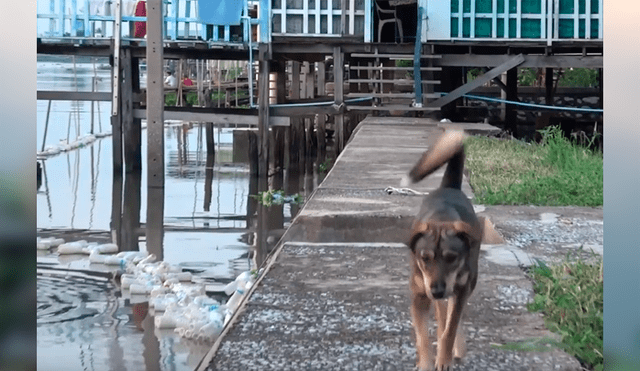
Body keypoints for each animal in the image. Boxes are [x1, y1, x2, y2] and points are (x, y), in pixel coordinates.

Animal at [402, 131, 482, 371]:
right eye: (424, 258)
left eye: (452, 258)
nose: (437, 290)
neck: (441, 219)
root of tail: (451, 187)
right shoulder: (419, 295)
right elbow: (422, 336)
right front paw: (426, 363)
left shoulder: (461, 288)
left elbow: (451, 328)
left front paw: (444, 358)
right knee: (441, 312)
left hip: (466, 283)